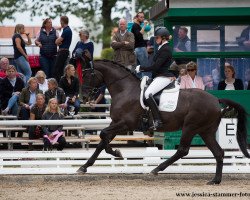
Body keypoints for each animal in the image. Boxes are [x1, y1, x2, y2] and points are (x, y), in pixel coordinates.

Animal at [77, 59, 249, 184]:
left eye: (87, 76)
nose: (84, 98)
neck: (124, 90)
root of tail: (215, 99)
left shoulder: (125, 123)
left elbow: (103, 135)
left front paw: (116, 152)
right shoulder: (116, 122)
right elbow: (102, 141)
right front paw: (84, 167)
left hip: (190, 127)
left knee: (183, 150)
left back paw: (157, 169)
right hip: (205, 131)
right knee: (218, 152)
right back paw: (215, 180)